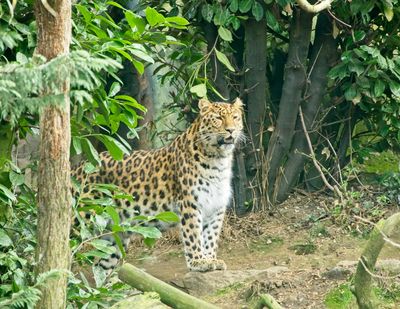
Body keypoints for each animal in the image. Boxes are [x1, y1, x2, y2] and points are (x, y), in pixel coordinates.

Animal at [72, 97, 244, 272]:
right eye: (218, 118)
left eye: (235, 117)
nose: (231, 130)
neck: (218, 160)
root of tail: (77, 168)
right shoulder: (190, 204)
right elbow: (193, 235)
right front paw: (198, 262)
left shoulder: (216, 207)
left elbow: (210, 237)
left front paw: (210, 260)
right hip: (79, 222)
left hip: (113, 237)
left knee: (99, 267)